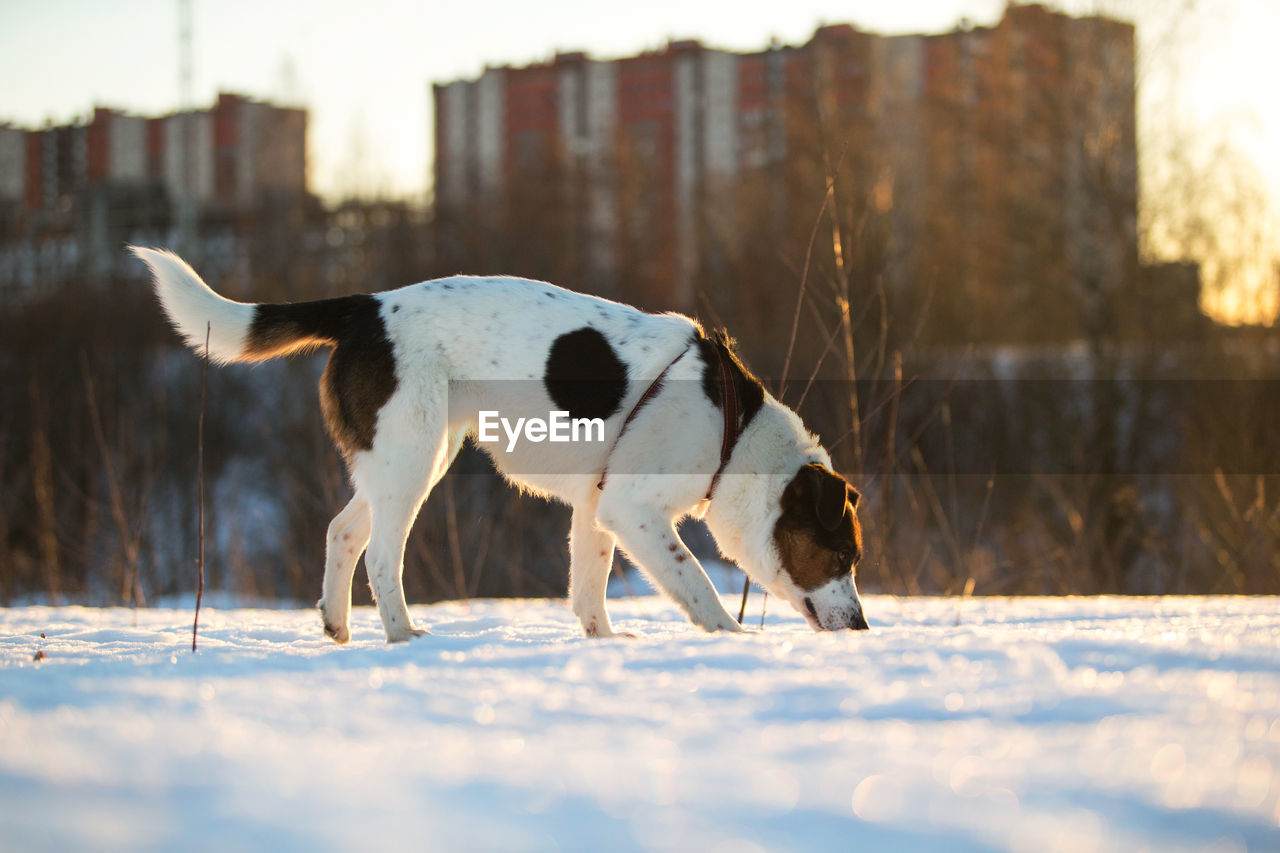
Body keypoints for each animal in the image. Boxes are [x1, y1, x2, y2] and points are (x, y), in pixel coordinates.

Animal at [132, 249, 870, 640]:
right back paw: (402, 635)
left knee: (342, 532)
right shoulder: (634, 509)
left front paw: (606, 644)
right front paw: (732, 640)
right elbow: (696, 583)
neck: (733, 435)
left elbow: (589, 587)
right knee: (381, 555)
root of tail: (366, 307)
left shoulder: (598, 508)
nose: (863, 626)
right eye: (840, 555)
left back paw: (339, 629)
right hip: (412, 458)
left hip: (406, 461)